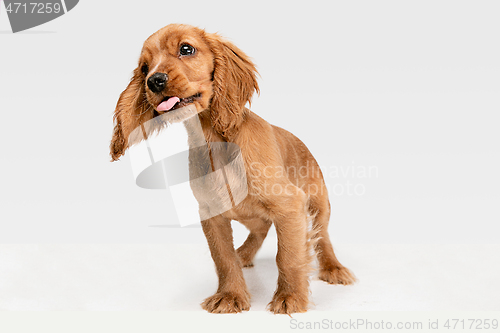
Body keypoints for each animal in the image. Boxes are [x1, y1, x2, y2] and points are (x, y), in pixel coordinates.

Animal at [111, 24, 358, 314]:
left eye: (186, 49)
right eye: (144, 67)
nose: (154, 81)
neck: (214, 139)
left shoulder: (291, 205)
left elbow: (288, 255)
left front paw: (290, 297)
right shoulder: (212, 213)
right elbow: (223, 258)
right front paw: (230, 295)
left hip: (319, 202)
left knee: (322, 236)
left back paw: (333, 268)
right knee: (261, 228)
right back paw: (245, 254)